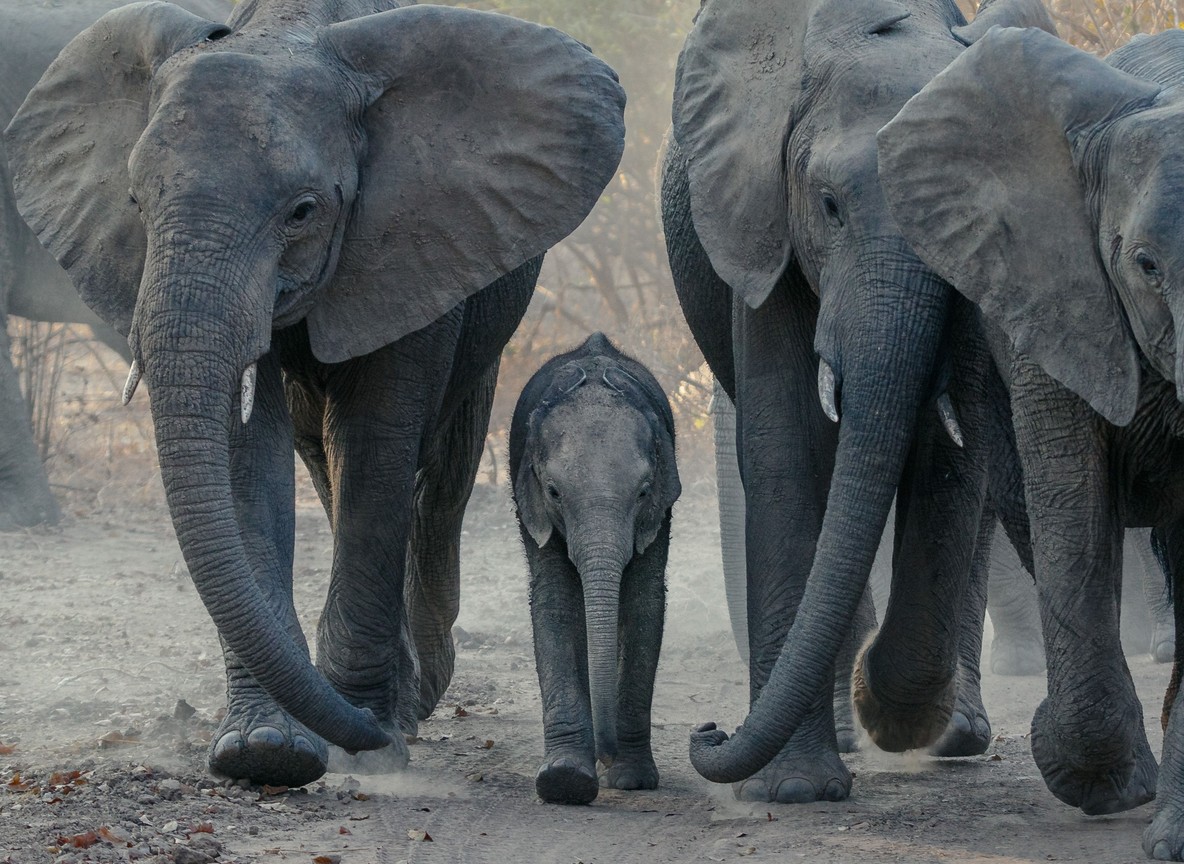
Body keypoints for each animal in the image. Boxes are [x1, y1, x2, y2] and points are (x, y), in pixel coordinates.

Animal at [511, 332, 680, 805]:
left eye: (643, 492)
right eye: (553, 491)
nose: (607, 753)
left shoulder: (660, 509)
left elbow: (643, 603)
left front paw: (632, 779)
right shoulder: (534, 506)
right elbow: (554, 603)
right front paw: (565, 780)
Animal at [661, 0, 1056, 803]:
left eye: (950, 213)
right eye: (830, 206)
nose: (706, 731)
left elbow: (951, 456)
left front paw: (892, 709)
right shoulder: (765, 222)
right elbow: (786, 444)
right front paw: (793, 790)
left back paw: (947, 732)